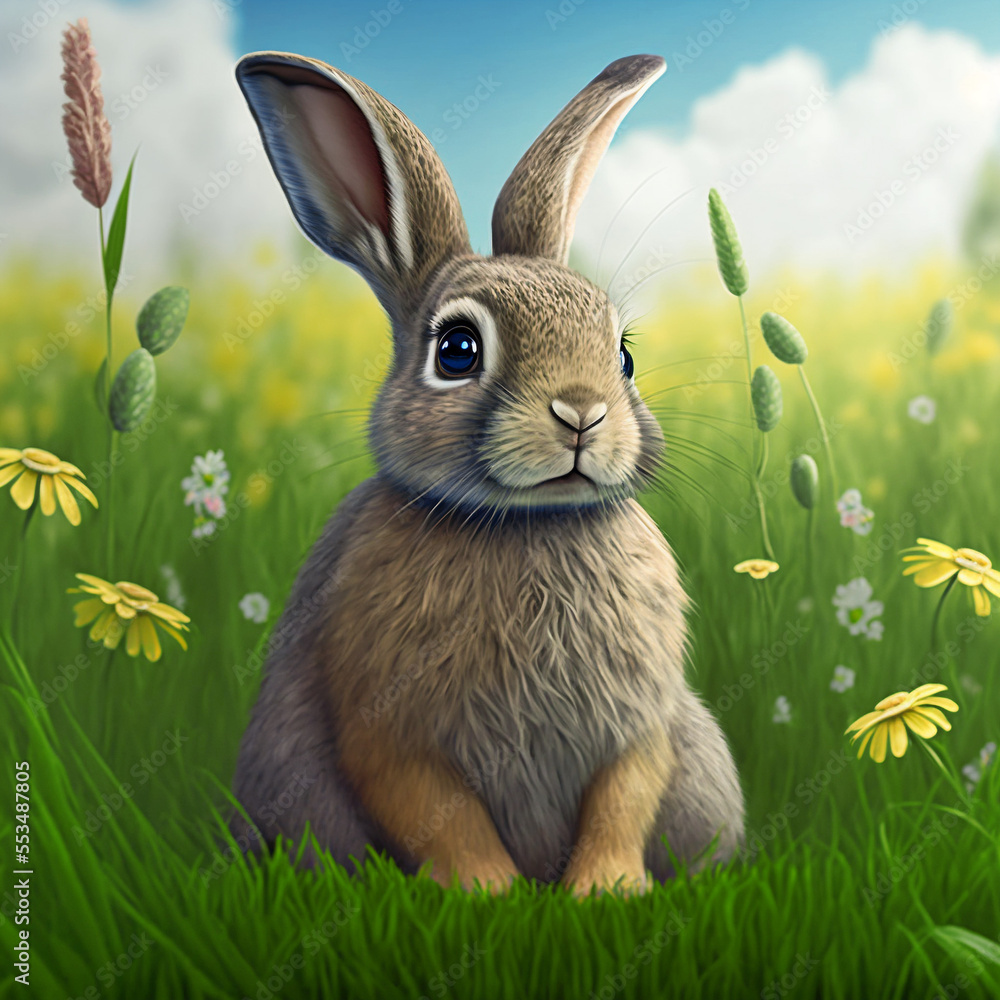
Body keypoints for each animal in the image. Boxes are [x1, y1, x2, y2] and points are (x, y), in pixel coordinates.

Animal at [229, 48, 745, 895]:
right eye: (458, 350)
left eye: (624, 355)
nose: (581, 413)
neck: (526, 524)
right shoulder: (387, 729)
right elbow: (438, 815)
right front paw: (490, 895)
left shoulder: (641, 722)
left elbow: (623, 797)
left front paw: (604, 892)